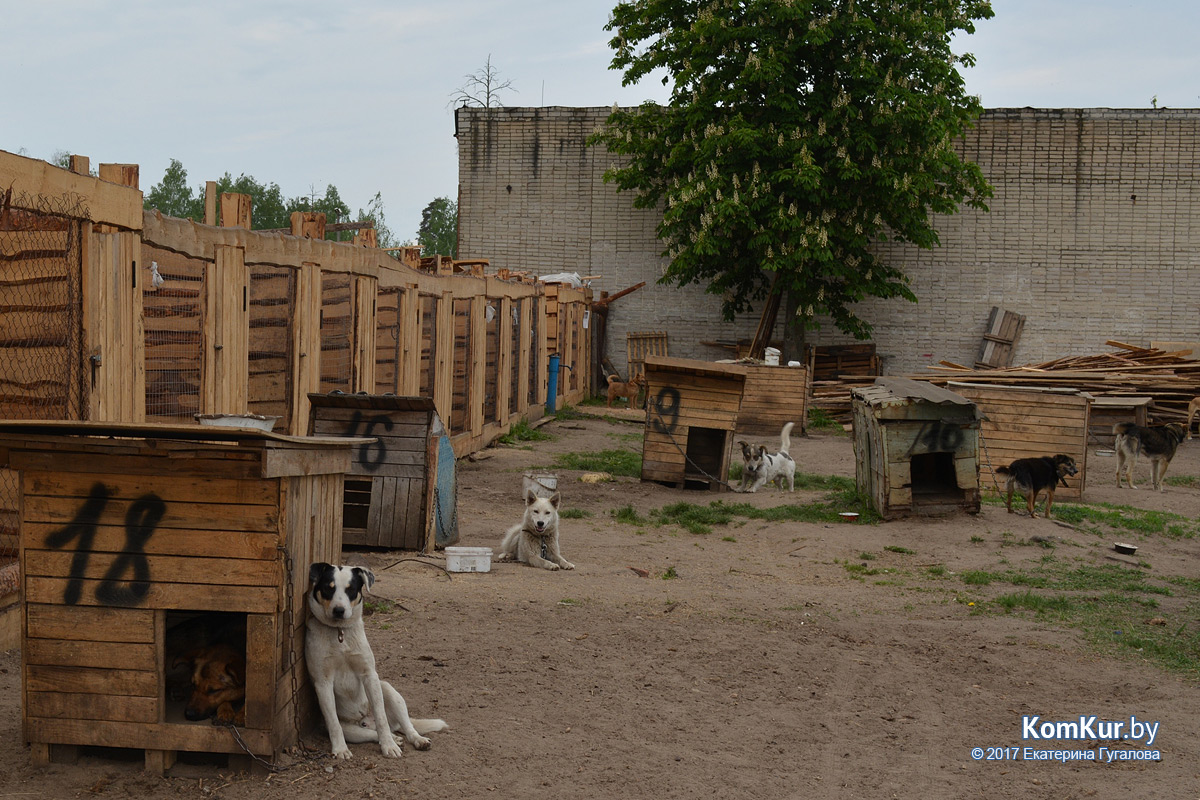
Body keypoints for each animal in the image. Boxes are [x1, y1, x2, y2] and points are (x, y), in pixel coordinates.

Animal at [302, 563, 448, 762]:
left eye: (351, 589)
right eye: (328, 588)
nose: (339, 610)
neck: (340, 634)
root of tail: (365, 720)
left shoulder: (369, 675)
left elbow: (381, 718)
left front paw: (389, 746)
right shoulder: (323, 683)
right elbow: (333, 723)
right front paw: (340, 749)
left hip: (388, 690)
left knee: (405, 726)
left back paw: (415, 739)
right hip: (353, 731)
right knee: (371, 734)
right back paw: (394, 738)